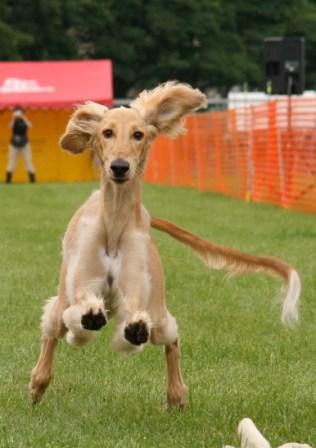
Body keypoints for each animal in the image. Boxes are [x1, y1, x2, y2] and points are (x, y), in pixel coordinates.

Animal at [30, 82, 302, 408]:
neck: (114, 225)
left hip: (157, 311)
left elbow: (133, 325)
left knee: (169, 337)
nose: (119, 167)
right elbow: (80, 316)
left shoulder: (137, 296)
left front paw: (132, 331)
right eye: (107, 132)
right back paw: (39, 382)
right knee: (53, 330)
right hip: (63, 300)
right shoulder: (82, 286)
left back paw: (176, 393)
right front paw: (85, 324)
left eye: (138, 134)